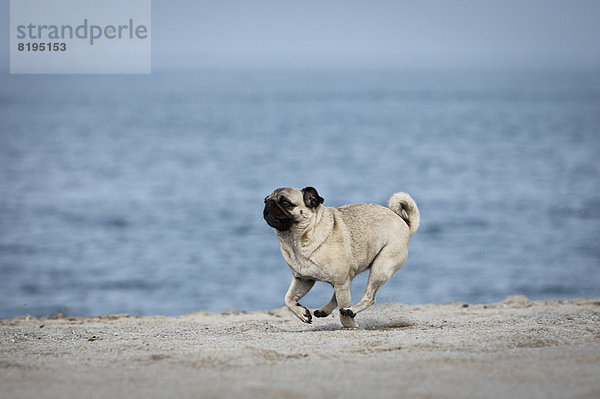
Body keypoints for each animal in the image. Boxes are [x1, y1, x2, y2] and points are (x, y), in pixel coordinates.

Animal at [264, 188, 420, 328]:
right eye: (266, 200)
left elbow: (343, 312)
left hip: (380, 267)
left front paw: (350, 325)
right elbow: (288, 298)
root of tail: (405, 223)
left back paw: (351, 311)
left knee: (368, 298)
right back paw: (324, 311)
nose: (269, 204)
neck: (296, 240)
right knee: (336, 298)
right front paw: (302, 313)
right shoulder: (303, 280)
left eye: (285, 202)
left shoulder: (341, 282)